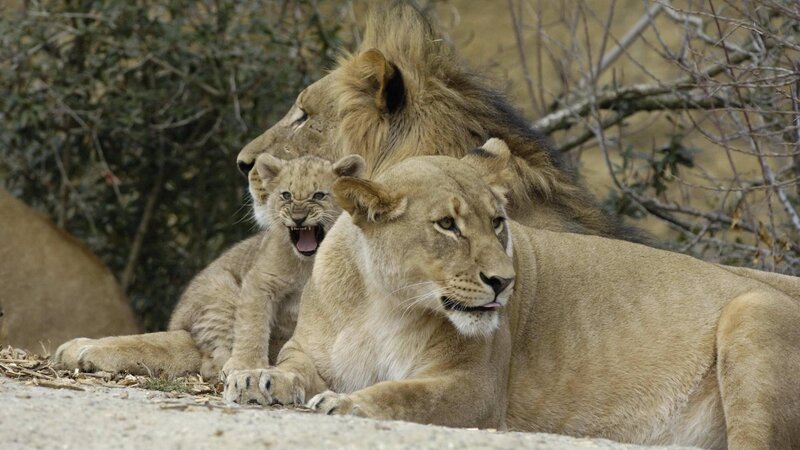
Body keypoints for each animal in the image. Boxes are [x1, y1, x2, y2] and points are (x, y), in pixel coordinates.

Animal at [55, 154, 364, 401]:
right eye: (286, 195)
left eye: (319, 195)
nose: (298, 217)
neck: (306, 262)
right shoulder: (258, 282)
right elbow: (253, 327)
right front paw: (247, 366)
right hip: (221, 290)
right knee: (211, 361)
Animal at [236, 139, 800, 450]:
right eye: (447, 225)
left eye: (497, 222)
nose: (504, 282)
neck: (386, 303)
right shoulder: (310, 347)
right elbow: (291, 365)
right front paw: (258, 378)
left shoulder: (477, 386)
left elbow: (407, 394)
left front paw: (347, 404)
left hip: (751, 311)